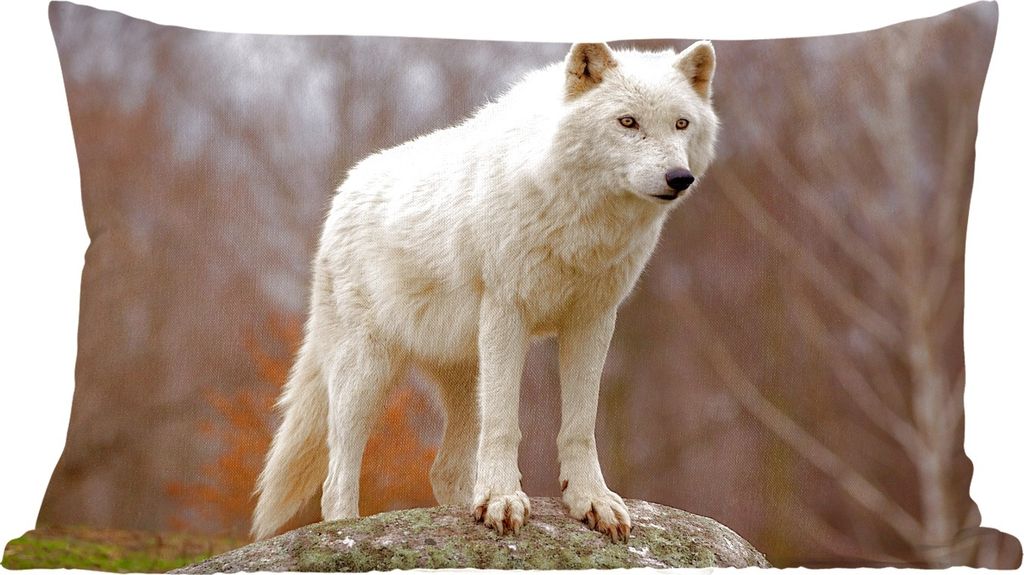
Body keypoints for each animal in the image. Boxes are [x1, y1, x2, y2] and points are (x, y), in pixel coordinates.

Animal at [252, 40, 718, 543]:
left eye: (681, 123)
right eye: (627, 122)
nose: (679, 177)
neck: (578, 218)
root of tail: (343, 191)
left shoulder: (593, 319)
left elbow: (580, 424)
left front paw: (590, 501)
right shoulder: (506, 312)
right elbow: (503, 424)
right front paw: (501, 499)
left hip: (461, 372)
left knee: (444, 470)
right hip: (367, 371)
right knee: (337, 476)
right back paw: (345, 534)